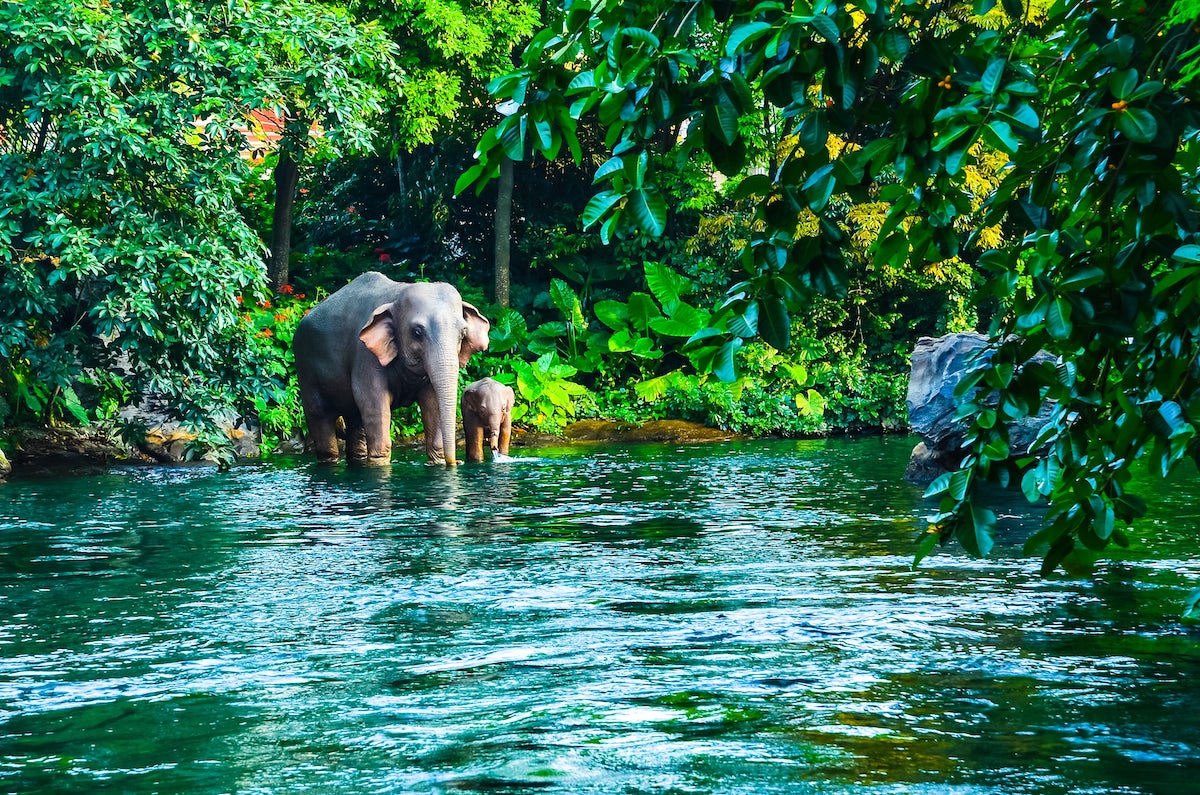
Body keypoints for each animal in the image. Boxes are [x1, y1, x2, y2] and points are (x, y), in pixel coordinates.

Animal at [292, 276, 489, 468]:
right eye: (417, 332)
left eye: (463, 333)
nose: (458, 462)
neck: (397, 294)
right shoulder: (365, 355)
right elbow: (372, 402)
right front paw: (380, 464)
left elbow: (432, 402)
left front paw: (438, 462)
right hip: (306, 369)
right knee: (320, 417)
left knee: (355, 419)